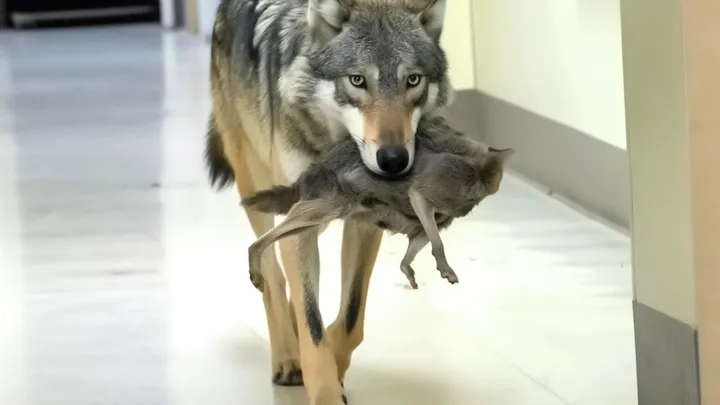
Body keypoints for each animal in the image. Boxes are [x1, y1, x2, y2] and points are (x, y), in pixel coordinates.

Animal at [205, 1, 452, 403]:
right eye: (357, 80)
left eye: (412, 80)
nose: (394, 160)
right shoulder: (298, 223)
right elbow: (312, 322)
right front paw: (323, 389)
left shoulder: (365, 224)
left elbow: (349, 319)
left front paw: (335, 368)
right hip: (256, 187)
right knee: (271, 274)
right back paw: (287, 359)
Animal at [242, 117, 513, 290]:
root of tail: (310, 172)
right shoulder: (424, 194)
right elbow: (438, 243)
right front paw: (446, 270)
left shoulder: (422, 226)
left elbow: (411, 254)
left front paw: (410, 272)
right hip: (325, 209)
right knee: (262, 239)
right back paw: (255, 271)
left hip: (316, 220)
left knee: (279, 231)